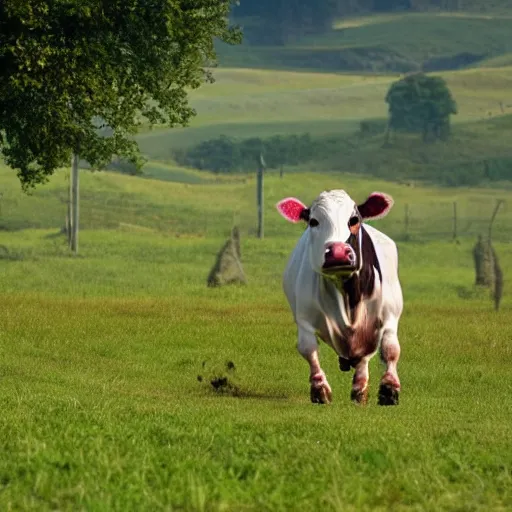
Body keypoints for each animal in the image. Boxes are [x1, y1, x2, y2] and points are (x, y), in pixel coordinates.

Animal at [276, 190, 404, 406]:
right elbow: (308, 349)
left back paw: (359, 389)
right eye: (313, 221)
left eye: (354, 219)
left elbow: (390, 349)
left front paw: (389, 388)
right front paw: (319, 388)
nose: (337, 252)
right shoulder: (304, 318)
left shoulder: (390, 315)